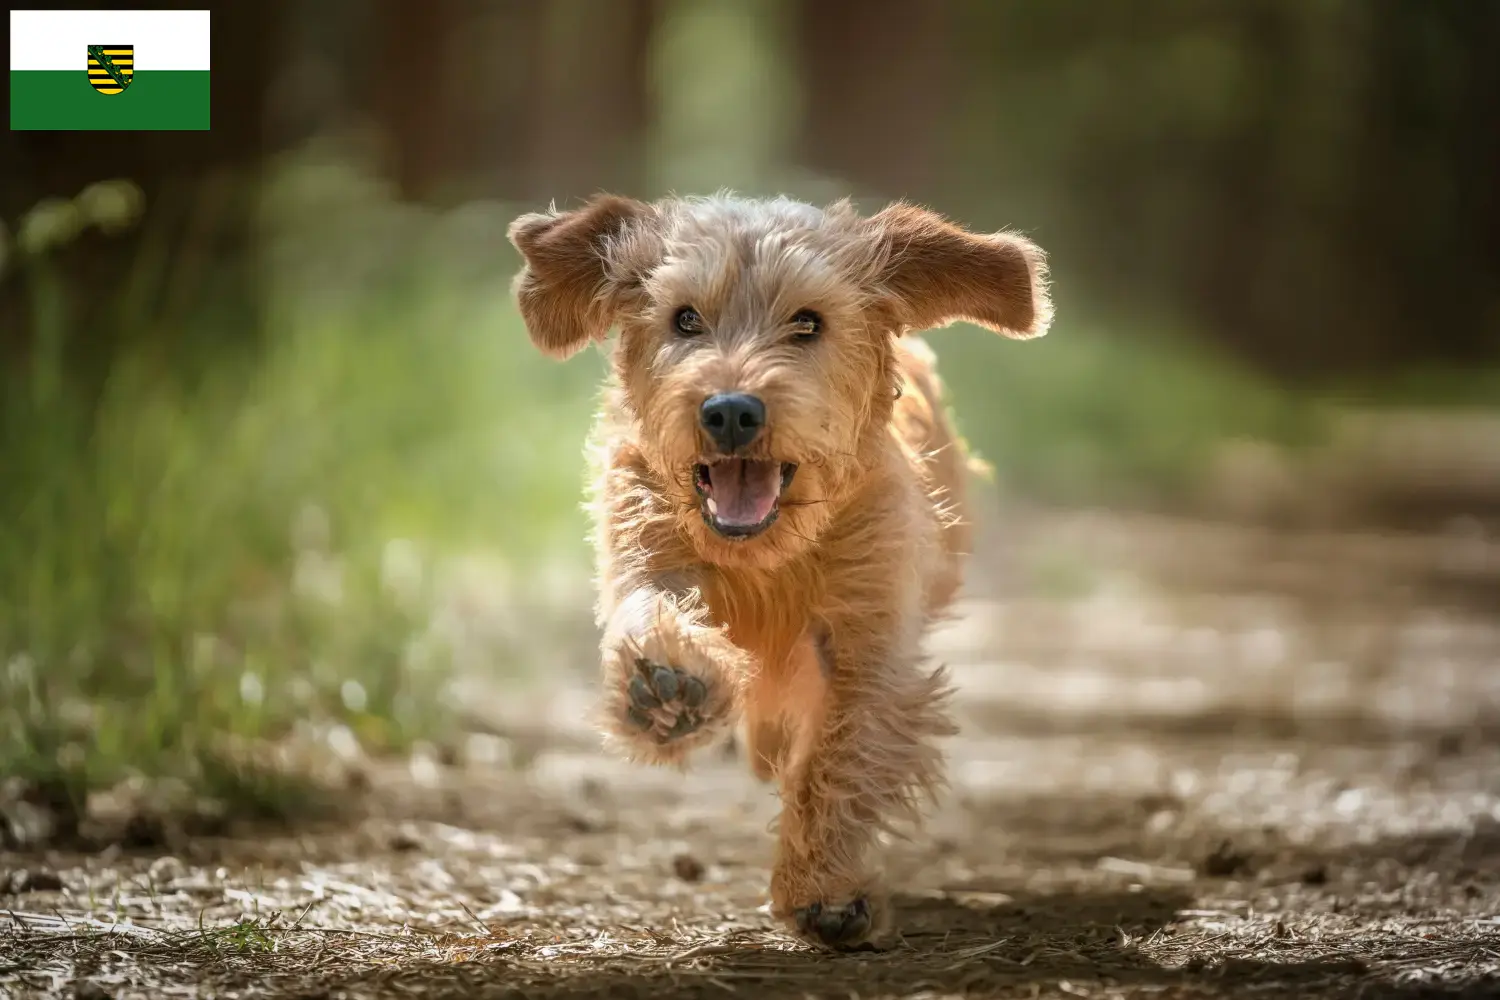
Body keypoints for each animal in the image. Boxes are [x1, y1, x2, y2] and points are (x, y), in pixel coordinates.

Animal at [510, 193, 1050, 947]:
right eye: (685, 318)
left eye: (808, 322)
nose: (731, 410)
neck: (768, 556)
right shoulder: (643, 538)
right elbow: (650, 606)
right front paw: (665, 685)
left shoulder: (869, 637)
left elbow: (842, 751)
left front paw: (822, 890)